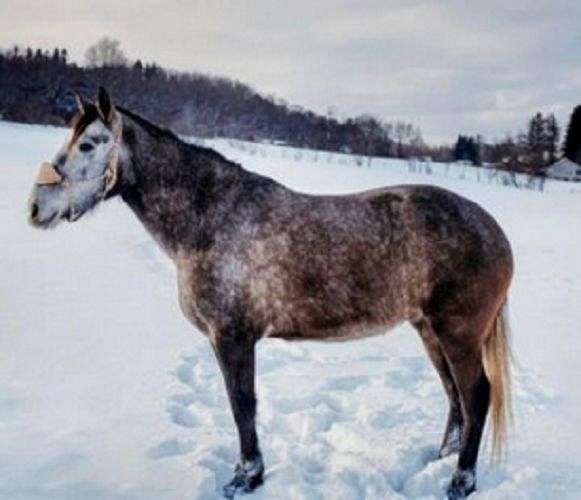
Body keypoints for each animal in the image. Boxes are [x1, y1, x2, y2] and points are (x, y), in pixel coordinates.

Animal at [28, 88, 512, 498]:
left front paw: (247, 477)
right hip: (429, 330)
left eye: (89, 144)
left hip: (457, 334)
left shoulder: (233, 337)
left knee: (476, 397)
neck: (210, 220)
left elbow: (242, 405)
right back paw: (439, 462)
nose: (36, 208)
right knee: (455, 398)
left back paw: (460, 482)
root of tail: (494, 231)